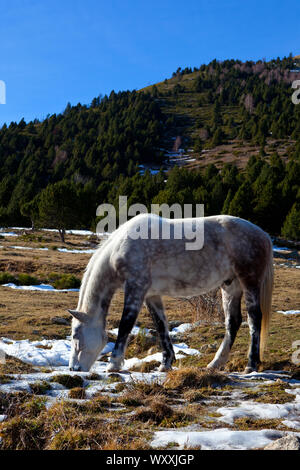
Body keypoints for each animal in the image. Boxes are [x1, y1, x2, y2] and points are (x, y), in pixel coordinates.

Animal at [68, 214, 274, 374]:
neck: (120, 249)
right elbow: (161, 326)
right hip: (231, 285)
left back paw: (251, 365)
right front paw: (166, 363)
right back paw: (215, 363)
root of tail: (264, 235)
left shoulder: (136, 288)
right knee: (233, 322)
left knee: (254, 319)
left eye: (76, 335)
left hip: (250, 282)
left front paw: (114, 364)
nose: (74, 368)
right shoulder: (151, 295)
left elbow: (125, 325)